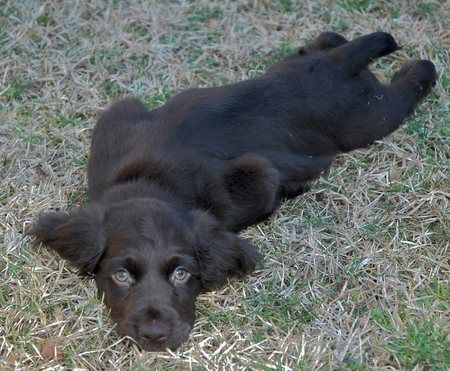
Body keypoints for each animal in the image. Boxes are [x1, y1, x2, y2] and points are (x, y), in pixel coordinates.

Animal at [28, 32, 436, 352]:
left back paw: (417, 68)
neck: (149, 178)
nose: (154, 336)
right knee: (329, 39)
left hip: (369, 117)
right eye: (121, 276)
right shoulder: (116, 120)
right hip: (311, 63)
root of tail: (336, 64)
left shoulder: (256, 175)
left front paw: (293, 186)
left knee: (416, 78)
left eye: (181, 274)